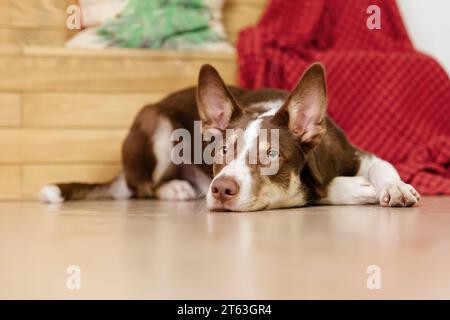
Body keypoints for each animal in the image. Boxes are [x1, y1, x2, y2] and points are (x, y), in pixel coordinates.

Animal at [40, 63, 420, 211]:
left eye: (271, 156)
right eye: (221, 151)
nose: (220, 189)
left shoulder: (355, 153)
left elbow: (382, 165)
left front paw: (395, 187)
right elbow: (319, 190)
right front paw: (357, 189)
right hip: (156, 123)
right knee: (143, 187)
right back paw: (175, 188)